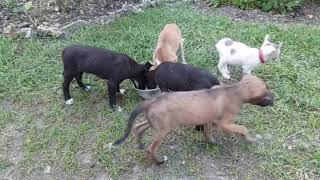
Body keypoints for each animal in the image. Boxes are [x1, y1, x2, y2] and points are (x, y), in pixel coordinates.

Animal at [111, 74, 274, 165]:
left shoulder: (209, 118)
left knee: (137, 127)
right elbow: (243, 128)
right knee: (151, 149)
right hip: (162, 130)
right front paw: (249, 139)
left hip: (156, 123)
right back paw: (158, 161)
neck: (235, 91)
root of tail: (151, 101)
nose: (275, 99)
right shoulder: (224, 123)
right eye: (265, 93)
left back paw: (139, 143)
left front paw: (211, 141)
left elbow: (208, 131)